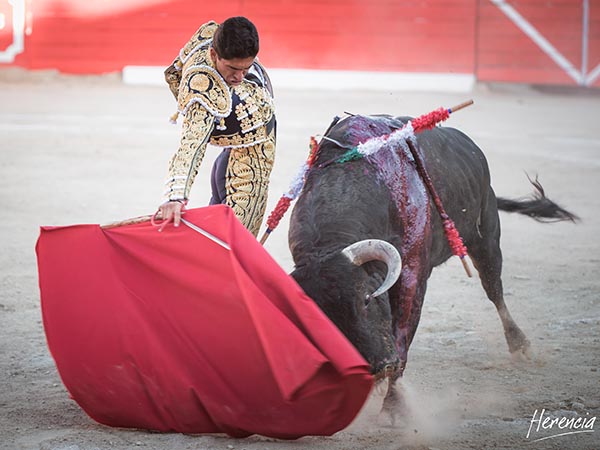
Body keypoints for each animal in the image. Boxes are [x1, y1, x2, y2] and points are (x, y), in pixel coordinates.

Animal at [288, 114, 580, 420]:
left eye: (367, 298)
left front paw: (394, 409)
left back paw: (520, 345)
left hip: (486, 238)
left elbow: (402, 336)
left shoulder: (412, 275)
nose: (379, 366)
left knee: (494, 289)